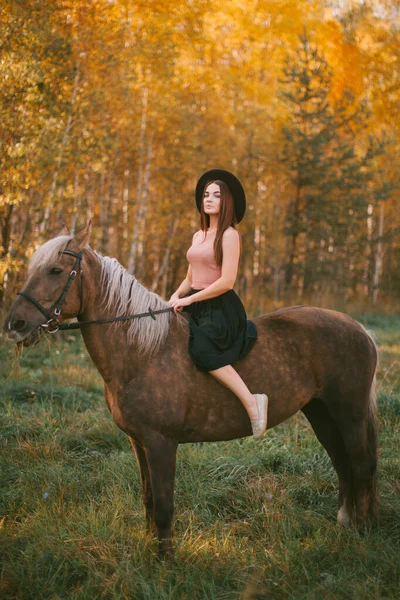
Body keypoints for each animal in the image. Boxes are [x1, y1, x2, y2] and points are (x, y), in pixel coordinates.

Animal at [3, 225, 378, 556]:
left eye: (55, 270)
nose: (13, 325)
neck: (143, 351)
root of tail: (358, 327)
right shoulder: (138, 442)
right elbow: (148, 498)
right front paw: (150, 549)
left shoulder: (161, 442)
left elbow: (164, 505)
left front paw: (166, 562)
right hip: (321, 413)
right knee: (342, 463)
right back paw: (345, 522)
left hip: (349, 414)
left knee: (360, 465)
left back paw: (361, 533)